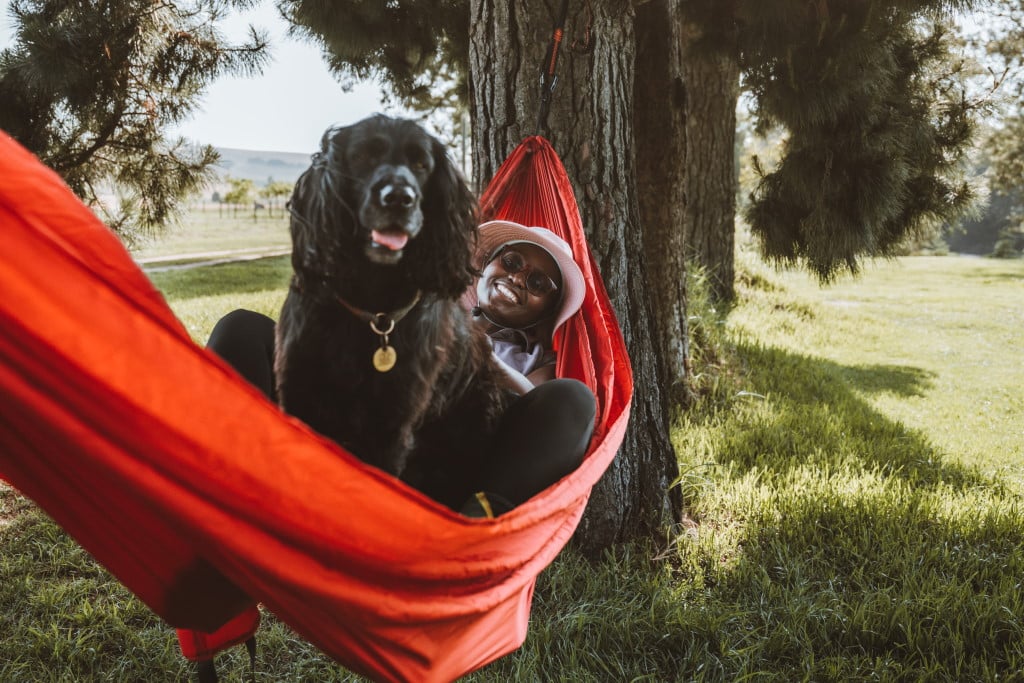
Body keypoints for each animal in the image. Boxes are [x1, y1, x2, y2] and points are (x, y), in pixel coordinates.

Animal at [276, 113, 516, 507]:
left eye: (421, 165)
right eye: (363, 156)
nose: (400, 199)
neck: (373, 312)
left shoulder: (390, 423)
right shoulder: (299, 395)